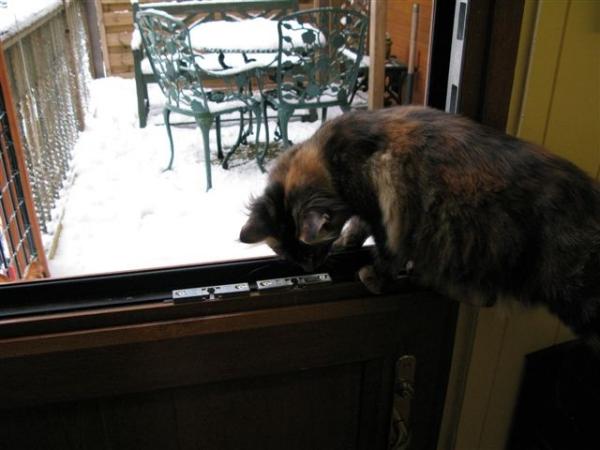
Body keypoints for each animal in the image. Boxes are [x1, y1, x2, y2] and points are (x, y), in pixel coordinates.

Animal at [241, 106, 600, 344]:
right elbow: (358, 226)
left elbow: (385, 248)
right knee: (484, 296)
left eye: (310, 252)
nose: (308, 268)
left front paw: (373, 276)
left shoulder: (385, 207)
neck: (328, 157)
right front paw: (348, 242)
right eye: (289, 255)